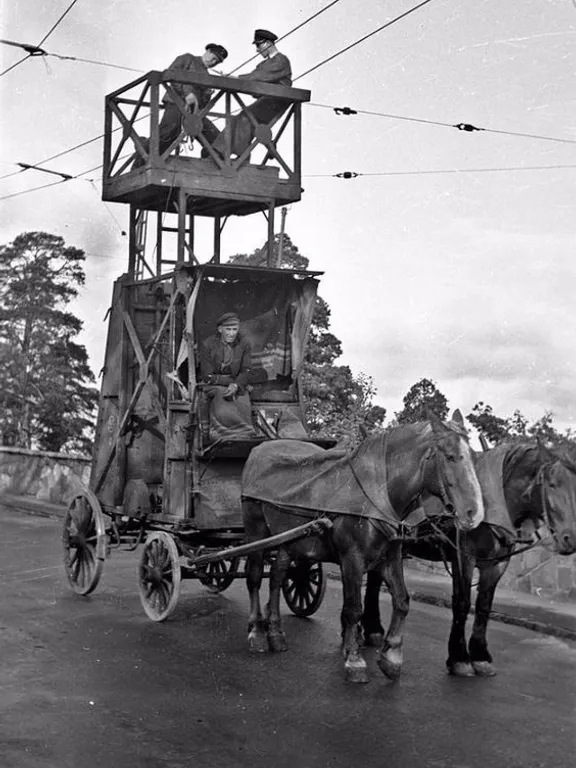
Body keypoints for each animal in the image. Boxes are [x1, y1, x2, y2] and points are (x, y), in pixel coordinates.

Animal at [241, 414, 484, 684]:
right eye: (450, 456)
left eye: (474, 458)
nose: (474, 513)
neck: (377, 493)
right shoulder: (352, 557)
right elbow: (354, 608)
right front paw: (355, 659)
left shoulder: (390, 556)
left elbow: (402, 601)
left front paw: (391, 657)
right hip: (255, 529)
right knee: (254, 577)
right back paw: (257, 632)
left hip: (287, 540)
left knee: (276, 576)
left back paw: (275, 632)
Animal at [360, 440, 576, 676]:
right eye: (552, 484)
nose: (569, 538)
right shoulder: (464, 557)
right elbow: (462, 604)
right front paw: (459, 658)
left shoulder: (497, 564)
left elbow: (484, 606)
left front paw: (480, 656)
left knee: (374, 582)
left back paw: (372, 629)